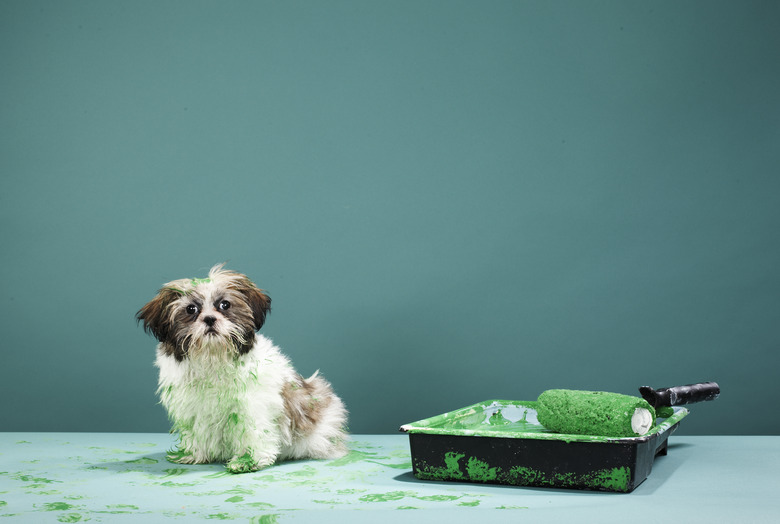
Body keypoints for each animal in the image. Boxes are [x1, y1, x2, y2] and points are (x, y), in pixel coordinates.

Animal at [136, 264, 348, 472]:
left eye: (224, 305)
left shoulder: (252, 405)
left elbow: (252, 431)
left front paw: (248, 460)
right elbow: (197, 431)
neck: (213, 357)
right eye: (191, 309)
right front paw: (194, 454)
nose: (210, 319)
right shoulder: (194, 408)